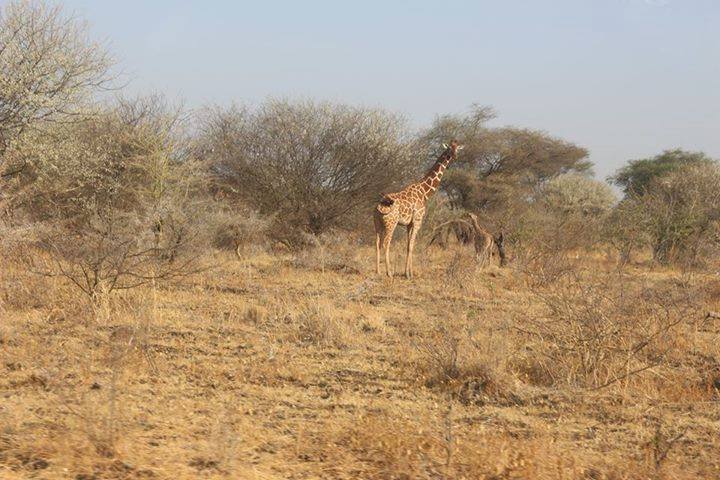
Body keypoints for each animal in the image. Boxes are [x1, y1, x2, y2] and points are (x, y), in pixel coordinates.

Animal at [374, 141, 463, 277]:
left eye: (457, 149)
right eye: (448, 149)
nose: (454, 157)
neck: (424, 192)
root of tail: (379, 205)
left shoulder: (409, 224)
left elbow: (408, 246)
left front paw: (408, 272)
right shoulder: (417, 221)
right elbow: (412, 246)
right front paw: (408, 274)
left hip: (377, 224)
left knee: (377, 243)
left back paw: (378, 271)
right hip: (391, 224)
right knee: (386, 243)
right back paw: (389, 273)